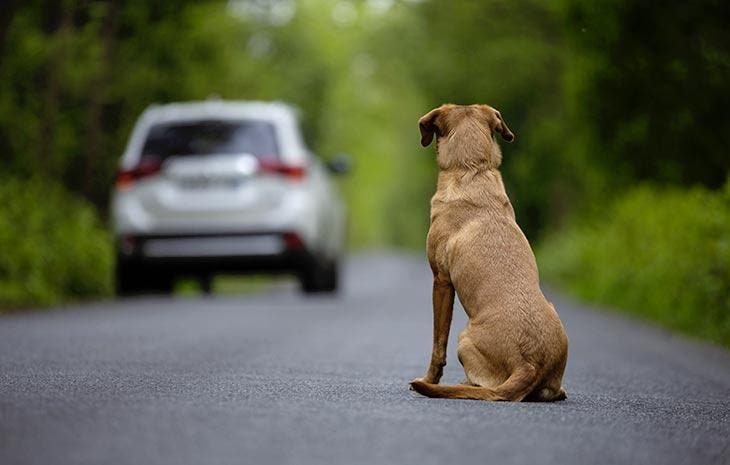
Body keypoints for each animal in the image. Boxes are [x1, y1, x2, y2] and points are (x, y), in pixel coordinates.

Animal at [406, 103, 564, 400]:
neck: (472, 170)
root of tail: (529, 364)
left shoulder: (441, 280)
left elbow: (438, 343)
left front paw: (429, 378)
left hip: (464, 338)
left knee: (481, 384)